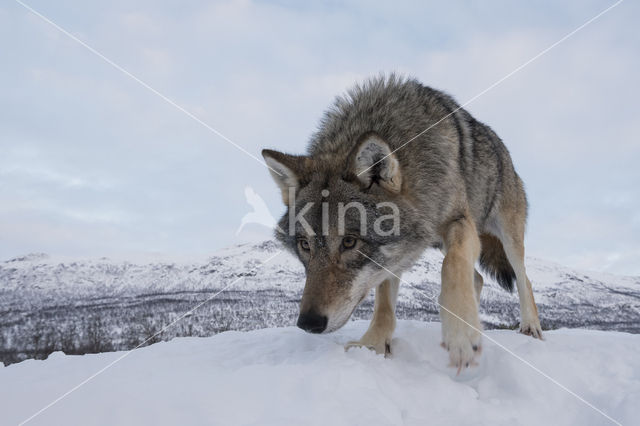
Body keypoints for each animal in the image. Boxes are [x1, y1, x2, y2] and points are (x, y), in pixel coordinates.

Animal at [262, 74, 544, 370]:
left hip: (508, 237)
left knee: (523, 278)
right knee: (477, 278)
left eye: (349, 242)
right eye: (304, 245)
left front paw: (461, 336)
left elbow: (452, 266)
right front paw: (373, 344)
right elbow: (384, 303)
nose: (308, 323)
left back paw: (530, 327)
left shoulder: (459, 221)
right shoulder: (393, 254)